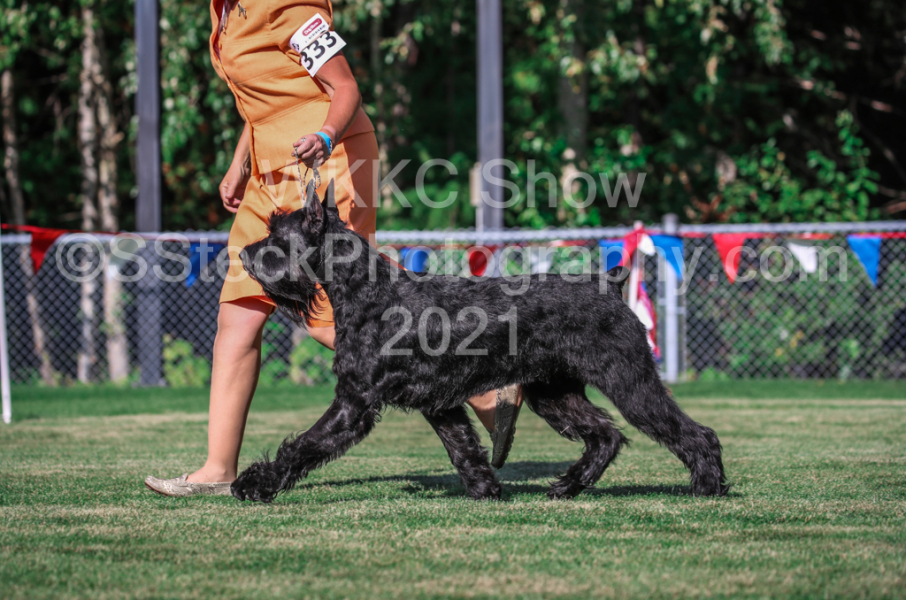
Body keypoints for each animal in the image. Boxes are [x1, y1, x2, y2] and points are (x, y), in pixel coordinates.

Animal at [231, 180, 729, 503]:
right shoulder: (439, 403)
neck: (367, 290)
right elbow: (463, 448)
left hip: (629, 382)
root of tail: (607, 282)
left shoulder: (354, 402)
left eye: (277, 234)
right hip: (555, 395)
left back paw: (708, 486)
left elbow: (304, 444)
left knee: (691, 432)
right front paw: (487, 490)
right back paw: (568, 486)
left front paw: (254, 484)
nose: (245, 255)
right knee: (604, 436)